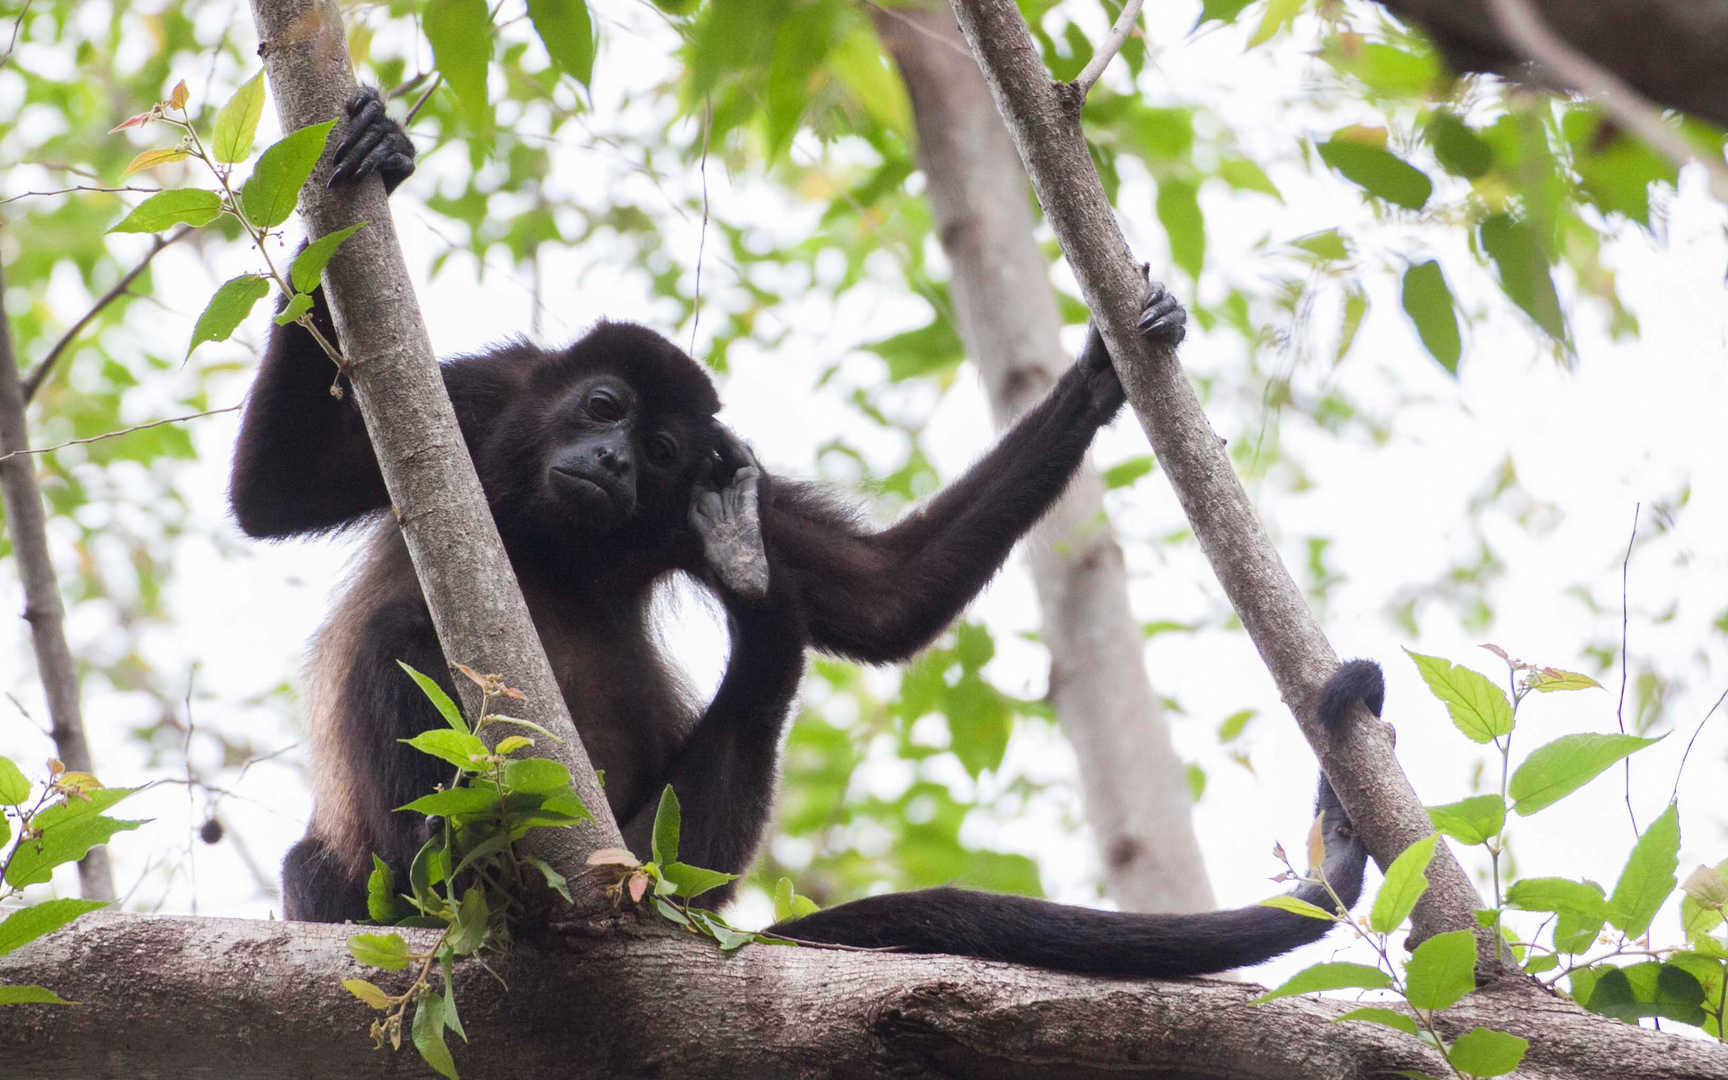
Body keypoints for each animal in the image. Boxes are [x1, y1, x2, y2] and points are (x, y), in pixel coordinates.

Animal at [240, 88, 1375, 974]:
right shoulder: (478, 402)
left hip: (655, 860)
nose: (612, 464)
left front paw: (1099, 375)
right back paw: (435, 879)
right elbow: (276, 494)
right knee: (393, 660)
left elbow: (882, 599)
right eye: (605, 409)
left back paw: (754, 599)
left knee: (755, 688)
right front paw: (363, 160)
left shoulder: (718, 475)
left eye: (660, 450)